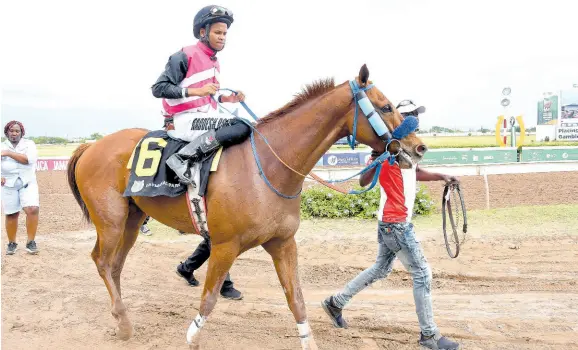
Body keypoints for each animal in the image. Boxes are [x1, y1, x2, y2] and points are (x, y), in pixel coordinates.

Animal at [67, 64, 426, 348]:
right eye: (386, 106)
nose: (419, 147)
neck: (267, 167)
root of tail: (90, 146)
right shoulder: (224, 246)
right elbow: (208, 300)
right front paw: (192, 338)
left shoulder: (283, 243)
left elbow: (296, 299)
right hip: (111, 219)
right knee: (102, 261)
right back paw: (123, 321)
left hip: (132, 218)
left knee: (115, 266)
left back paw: (122, 319)